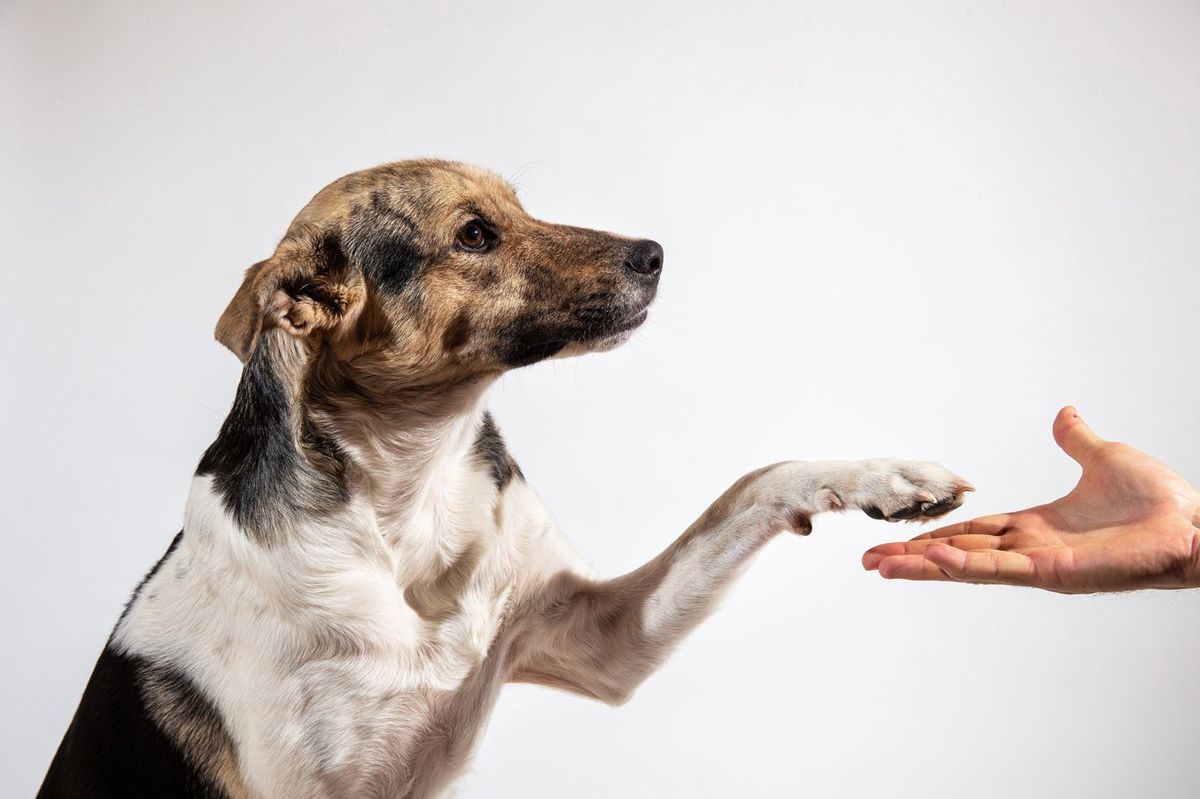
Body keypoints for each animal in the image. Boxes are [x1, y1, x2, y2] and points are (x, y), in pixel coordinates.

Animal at [39, 158, 974, 791]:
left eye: (518, 206)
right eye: (475, 234)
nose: (655, 253)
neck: (406, 489)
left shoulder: (605, 638)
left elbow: (752, 480)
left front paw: (883, 476)